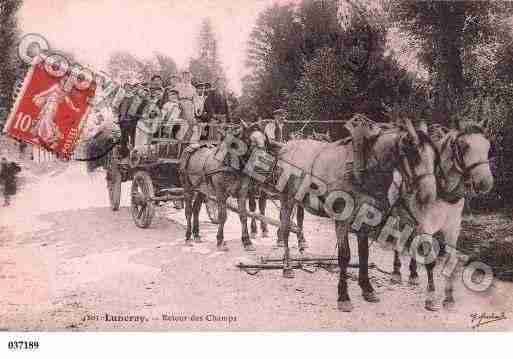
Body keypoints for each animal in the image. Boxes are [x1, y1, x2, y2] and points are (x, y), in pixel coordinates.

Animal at [179, 122, 268, 252]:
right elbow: (222, 216)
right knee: (189, 211)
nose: (264, 162)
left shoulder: (242, 192)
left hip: (202, 190)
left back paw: (196, 234)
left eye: (265, 140)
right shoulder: (221, 194)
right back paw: (188, 237)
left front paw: (246, 241)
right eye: (251, 141)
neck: (230, 164)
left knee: (196, 209)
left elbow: (243, 215)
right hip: (187, 187)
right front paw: (220, 241)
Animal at [274, 117, 438, 312]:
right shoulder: (342, 218)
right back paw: (287, 267)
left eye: (434, 157)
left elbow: (364, 254)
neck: (363, 167)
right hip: (286, 199)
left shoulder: (365, 219)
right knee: (285, 230)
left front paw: (367, 289)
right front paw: (343, 297)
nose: (430, 195)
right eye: (414, 156)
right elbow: (345, 256)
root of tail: (286, 147)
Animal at [388, 122, 492, 310]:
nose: (486, 183)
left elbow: (450, 260)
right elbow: (430, 262)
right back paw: (396, 273)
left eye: (488, 146)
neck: (443, 193)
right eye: (464, 146)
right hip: (398, 216)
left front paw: (449, 298)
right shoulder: (427, 227)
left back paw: (413, 275)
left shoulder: (452, 228)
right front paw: (430, 297)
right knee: (398, 243)